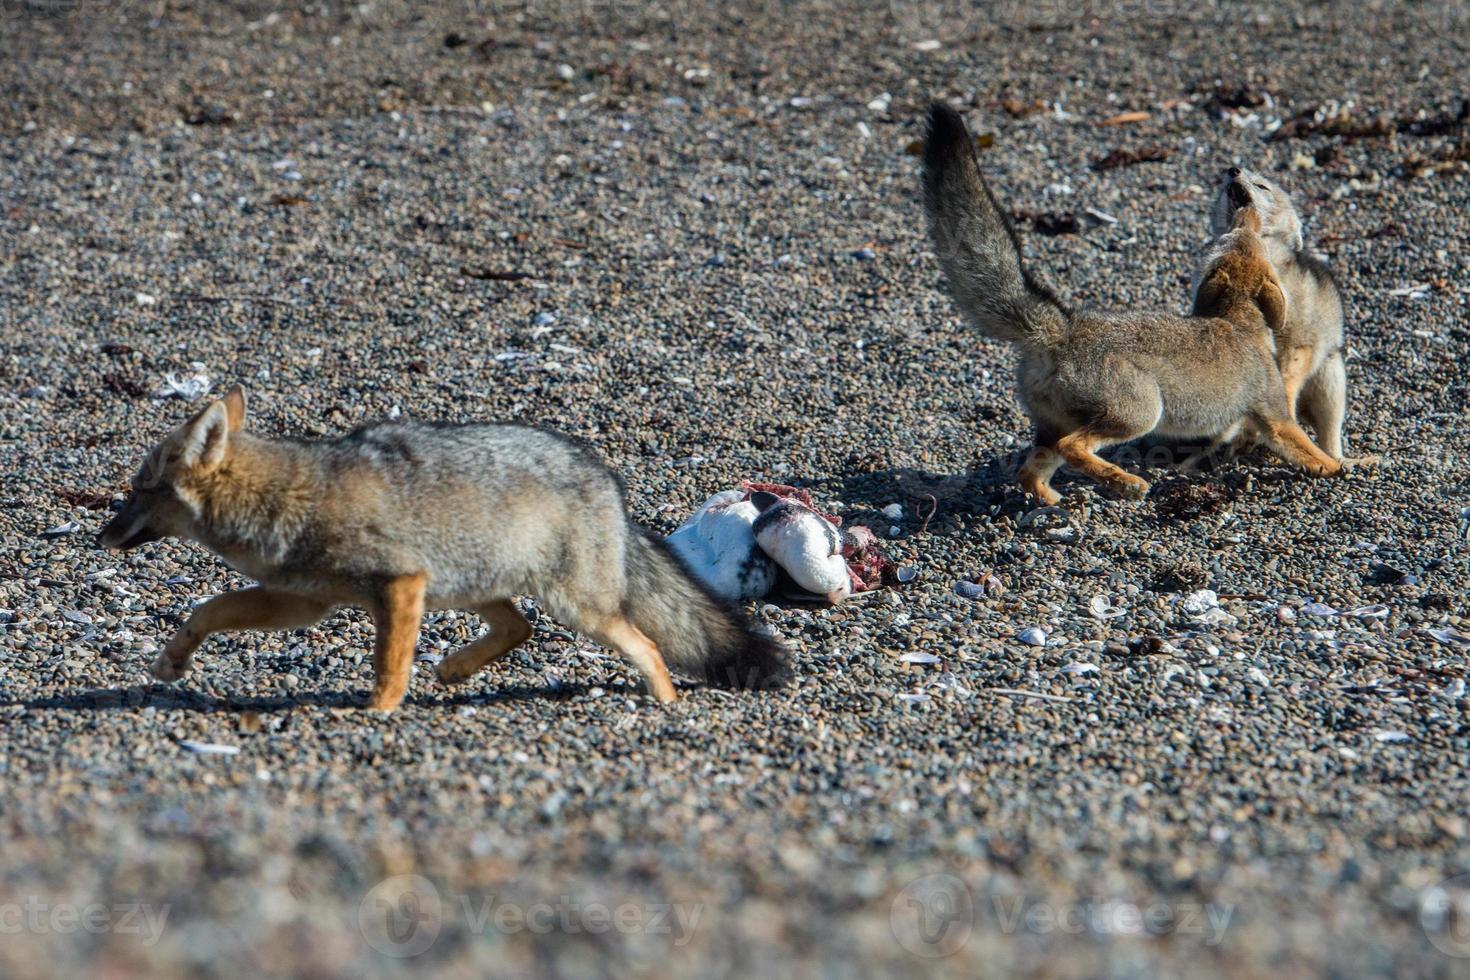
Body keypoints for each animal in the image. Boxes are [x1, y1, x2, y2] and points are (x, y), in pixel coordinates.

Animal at [96, 390, 787, 714]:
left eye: (137, 491)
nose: (99, 535)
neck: (289, 492)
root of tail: (607, 479)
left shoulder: (399, 584)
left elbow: (390, 664)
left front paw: (378, 712)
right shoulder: (302, 603)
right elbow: (208, 609)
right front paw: (172, 662)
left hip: (575, 608)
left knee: (646, 644)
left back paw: (666, 705)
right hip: (478, 588)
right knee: (519, 628)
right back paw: (455, 671)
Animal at [923, 104, 1358, 505]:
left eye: (1243, 232)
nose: (1236, 184)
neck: (1238, 319)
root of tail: (1063, 327)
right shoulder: (1275, 416)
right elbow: (1312, 452)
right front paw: (1339, 468)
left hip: (1056, 427)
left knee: (1029, 471)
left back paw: (1055, 501)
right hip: (1141, 413)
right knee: (1073, 447)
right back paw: (1126, 483)